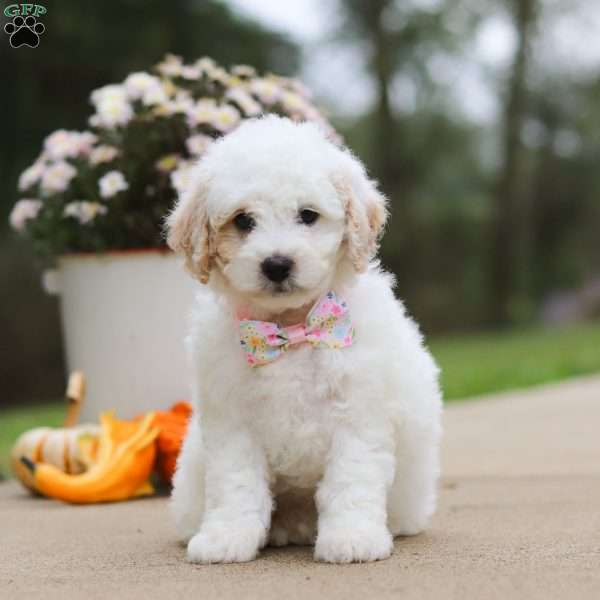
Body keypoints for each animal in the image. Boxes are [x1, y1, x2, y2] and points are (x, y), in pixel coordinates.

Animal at [166, 115, 442, 564]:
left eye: (308, 215)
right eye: (243, 221)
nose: (277, 264)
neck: (291, 328)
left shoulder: (358, 413)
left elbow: (350, 480)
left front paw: (351, 537)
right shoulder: (232, 421)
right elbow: (235, 484)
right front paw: (226, 537)